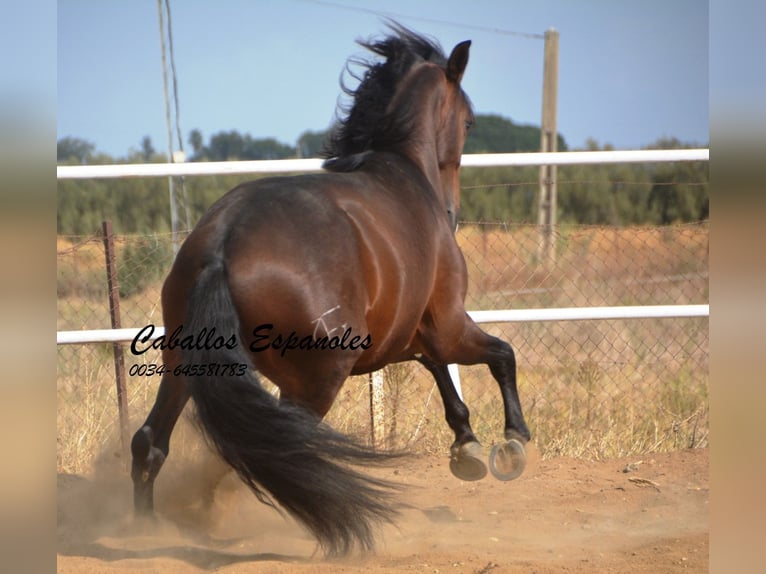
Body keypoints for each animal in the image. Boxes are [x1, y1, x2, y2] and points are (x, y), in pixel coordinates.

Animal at [129, 23, 532, 560]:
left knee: (151, 442)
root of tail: (223, 242)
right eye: (468, 121)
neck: (404, 172)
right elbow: (501, 354)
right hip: (317, 380)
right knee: (280, 454)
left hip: (182, 365)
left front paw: (466, 446)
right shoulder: (447, 323)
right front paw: (512, 442)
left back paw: (143, 529)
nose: (452, 214)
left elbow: (440, 371)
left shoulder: (408, 336)